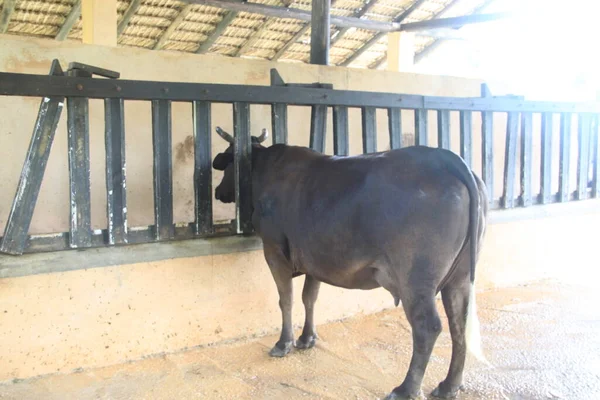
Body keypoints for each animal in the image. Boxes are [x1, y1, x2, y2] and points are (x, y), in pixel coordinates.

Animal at [213, 126, 490, 400]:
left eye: (227, 164)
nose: (217, 192)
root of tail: (446, 157)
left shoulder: (274, 251)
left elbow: (286, 299)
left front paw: (284, 343)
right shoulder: (315, 257)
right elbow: (309, 297)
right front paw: (307, 338)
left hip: (415, 278)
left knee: (427, 326)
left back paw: (405, 389)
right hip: (459, 277)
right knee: (459, 322)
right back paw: (449, 385)